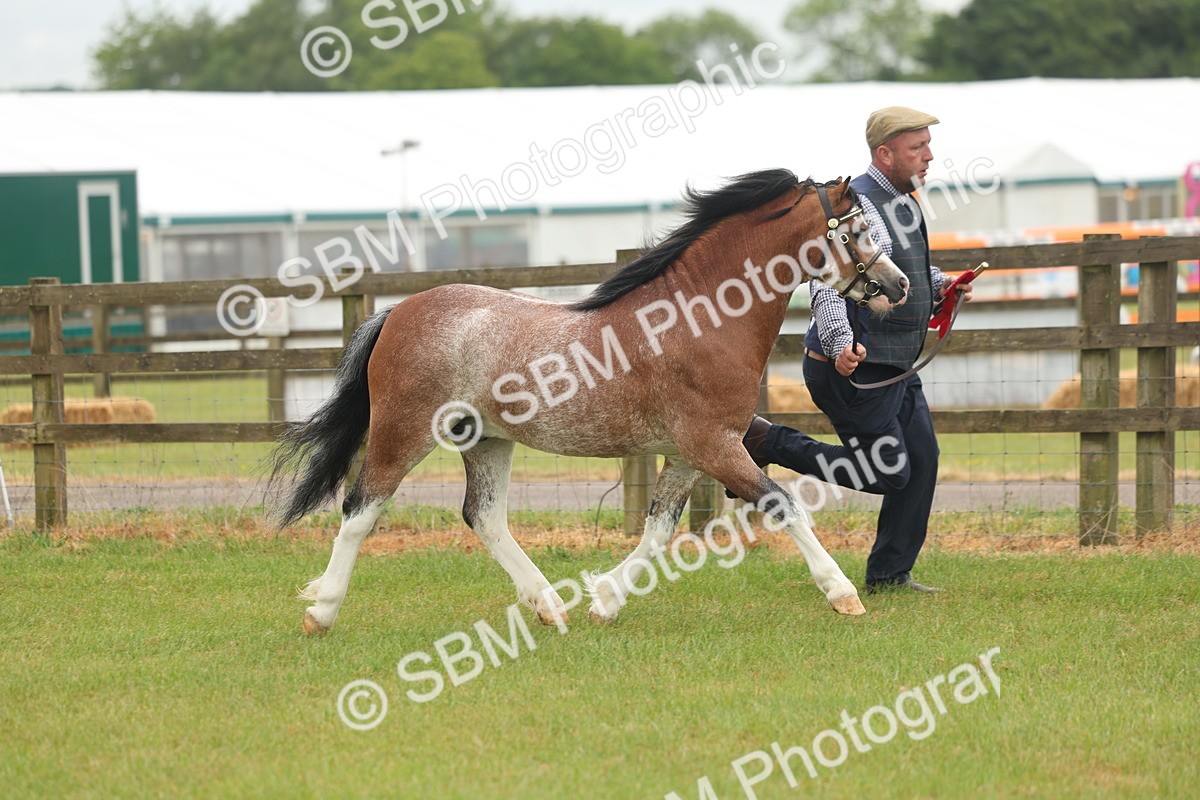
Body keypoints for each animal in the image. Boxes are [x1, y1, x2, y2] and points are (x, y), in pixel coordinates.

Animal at [270, 169, 910, 635]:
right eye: (856, 230)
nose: (899, 287)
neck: (699, 319)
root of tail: (399, 312)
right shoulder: (715, 446)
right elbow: (785, 505)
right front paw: (843, 594)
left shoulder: (689, 454)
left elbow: (657, 531)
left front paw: (604, 598)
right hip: (403, 430)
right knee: (360, 508)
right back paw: (320, 612)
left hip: (487, 441)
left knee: (483, 517)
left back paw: (549, 606)